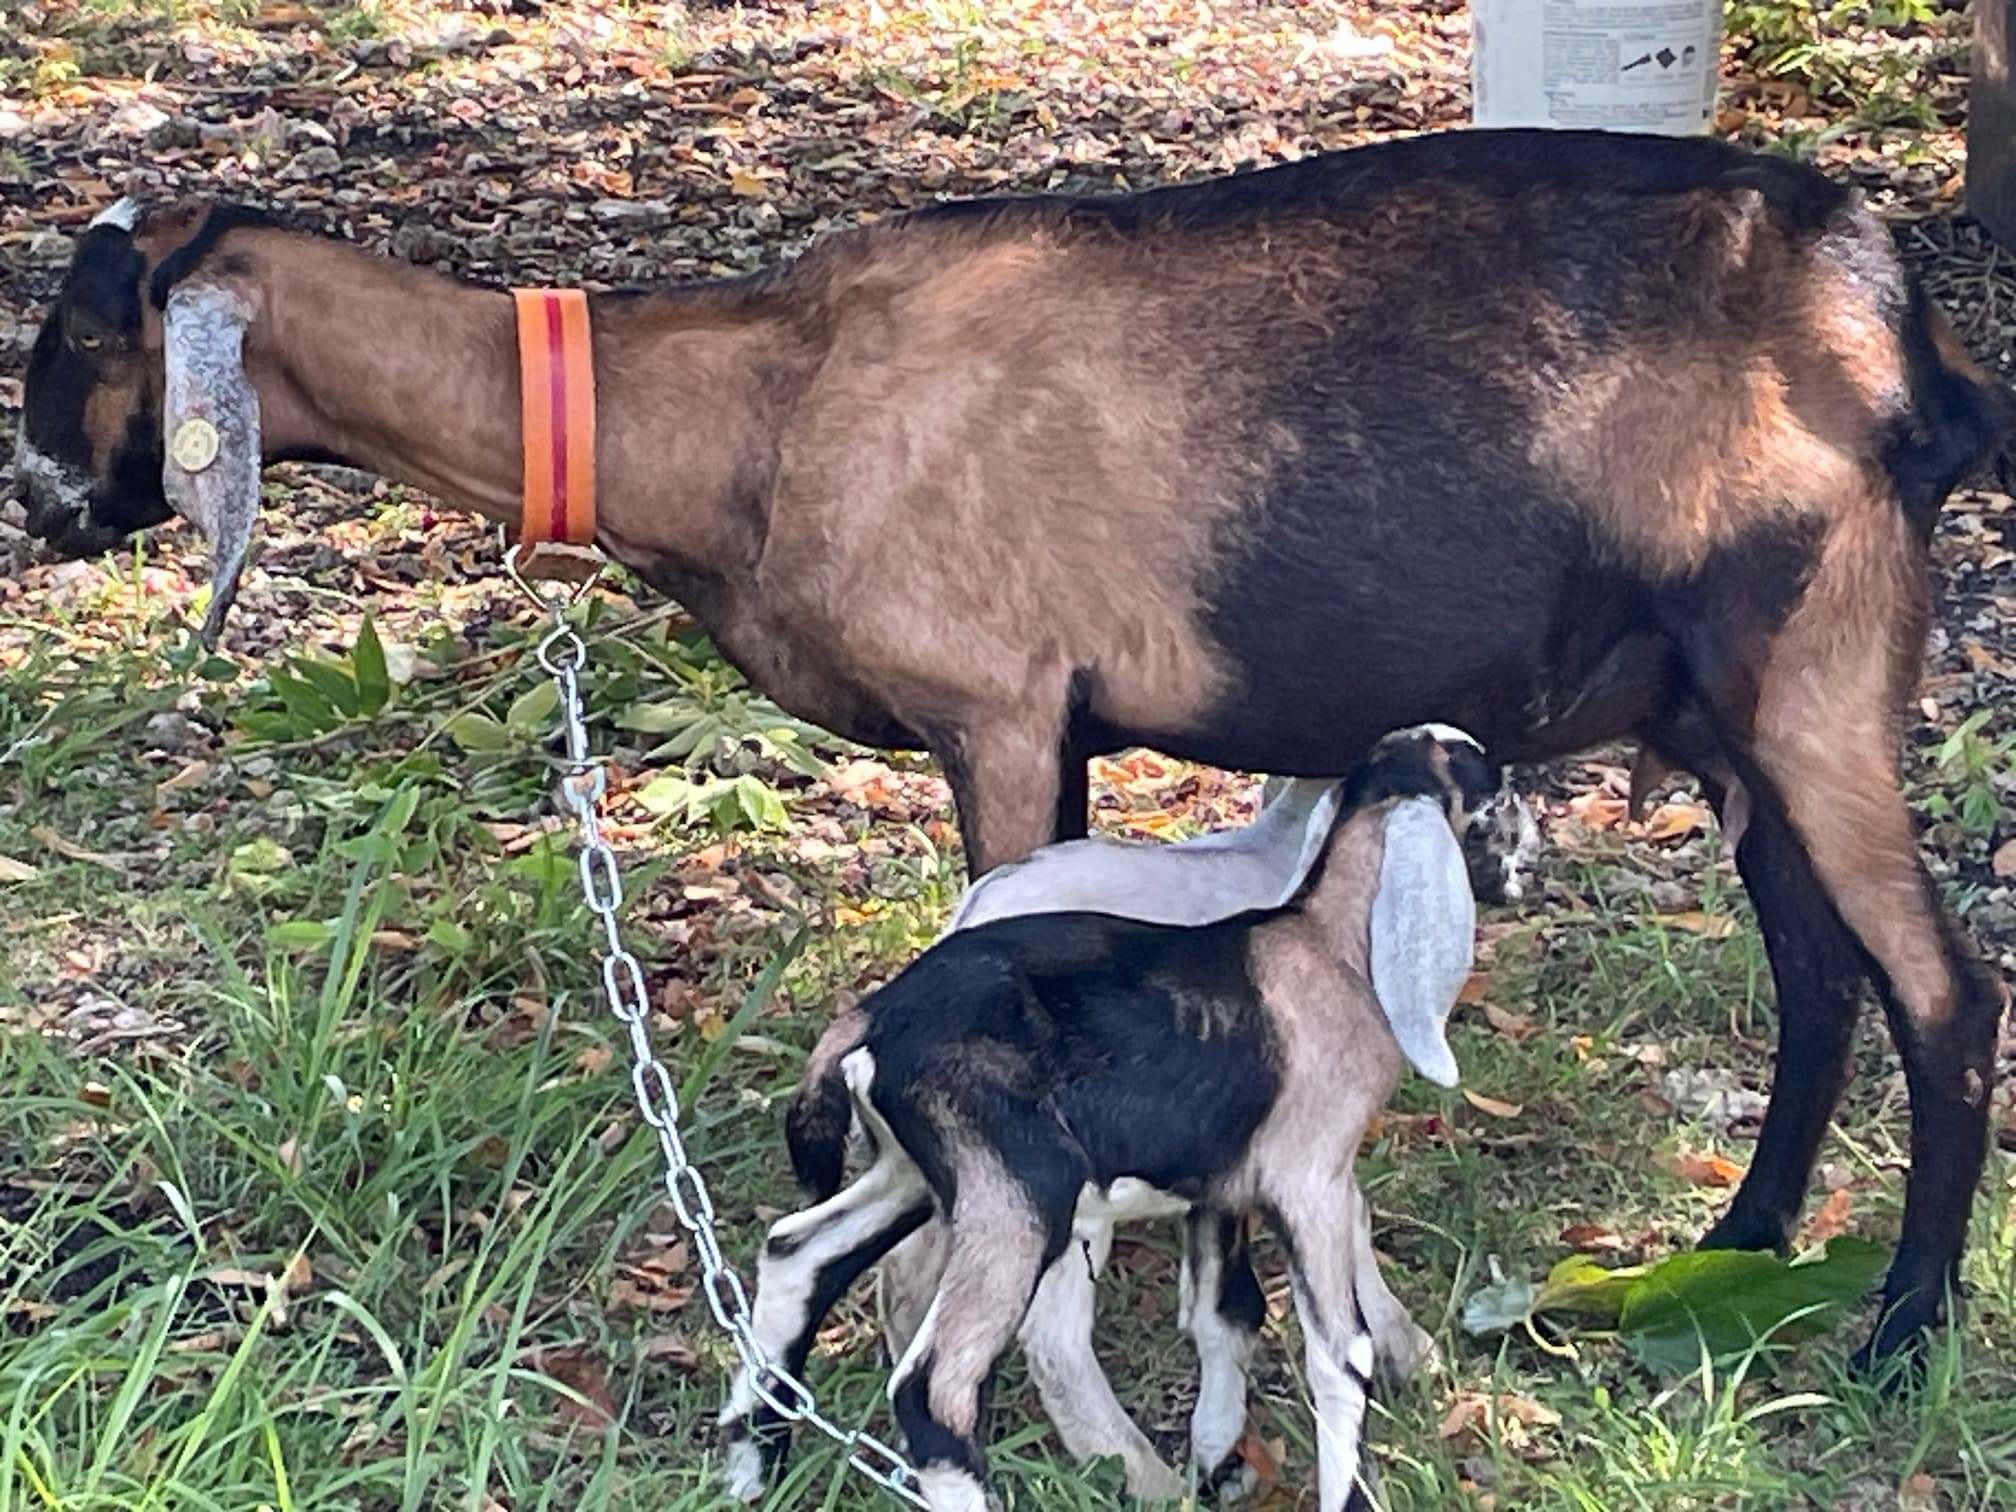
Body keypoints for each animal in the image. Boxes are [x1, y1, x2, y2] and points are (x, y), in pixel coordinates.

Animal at [13, 128, 2013, 1365]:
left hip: (1820, 665)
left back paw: (1898, 1331)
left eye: (83, 332)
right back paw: (1743, 1245)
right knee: (1815, 973)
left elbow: (995, 943)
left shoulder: (1001, 704)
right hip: (1724, 716)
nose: (39, 506)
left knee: (1938, 988)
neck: (752, 408)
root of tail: (1899, 337)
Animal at [718, 726, 1515, 1511]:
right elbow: (1339, 1354)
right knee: (936, 1383)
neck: (1327, 945)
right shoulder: (1308, 1179)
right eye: (1491, 797)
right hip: (1021, 1195)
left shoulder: (1218, 1185)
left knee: (798, 1255)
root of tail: (875, 1019)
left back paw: (751, 1468)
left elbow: (1226, 1314)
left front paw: (1217, 1464)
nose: (1525, 860)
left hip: (916, 1173)